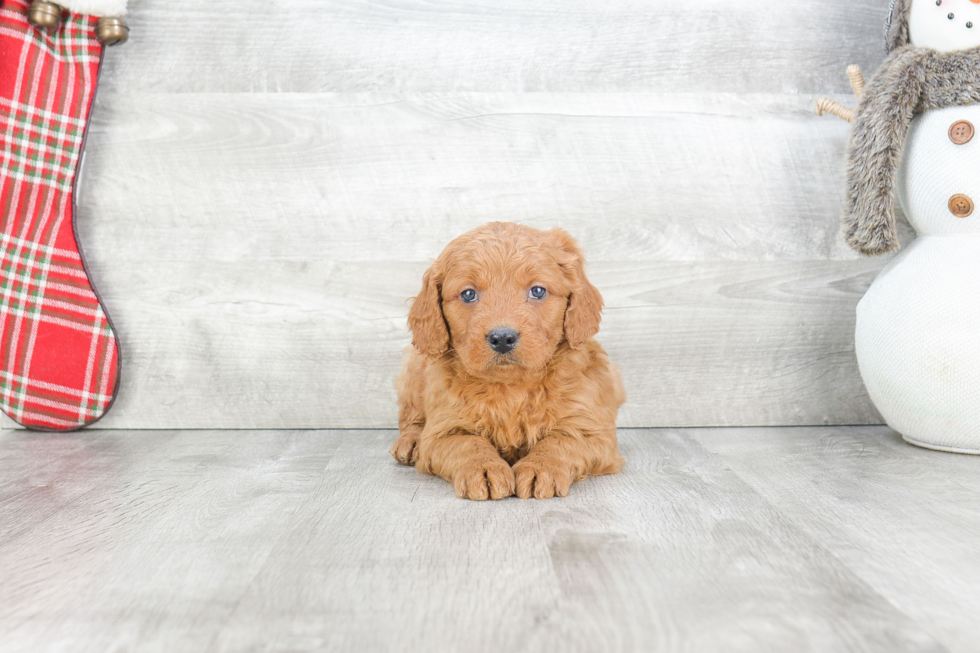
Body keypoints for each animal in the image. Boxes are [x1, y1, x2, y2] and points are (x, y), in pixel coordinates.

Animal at [388, 222, 624, 502]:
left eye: (537, 291)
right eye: (468, 294)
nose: (502, 338)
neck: (510, 386)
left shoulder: (591, 430)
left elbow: (561, 441)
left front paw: (540, 468)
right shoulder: (443, 431)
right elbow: (468, 444)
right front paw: (484, 469)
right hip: (415, 367)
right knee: (411, 415)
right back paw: (410, 442)